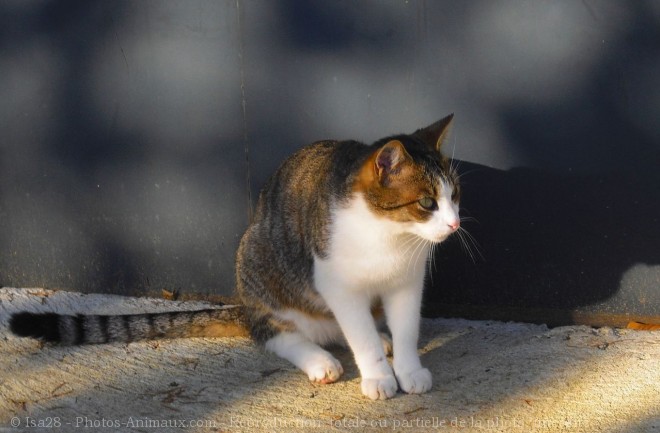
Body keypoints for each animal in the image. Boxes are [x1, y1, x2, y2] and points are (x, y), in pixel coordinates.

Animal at [11, 113, 464, 400]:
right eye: (426, 202)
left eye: (454, 195)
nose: (455, 224)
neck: (391, 237)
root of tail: (243, 305)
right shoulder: (337, 283)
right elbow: (359, 339)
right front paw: (378, 376)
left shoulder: (407, 282)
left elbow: (406, 330)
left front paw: (408, 370)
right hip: (257, 259)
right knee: (276, 333)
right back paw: (320, 361)